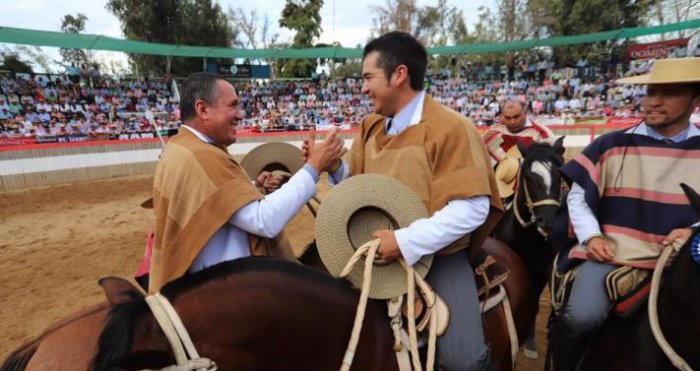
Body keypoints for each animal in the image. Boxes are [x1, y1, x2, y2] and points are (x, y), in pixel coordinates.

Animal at [490, 138, 568, 358]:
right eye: (528, 176)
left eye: (560, 175)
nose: (547, 221)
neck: (527, 241)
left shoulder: (539, 276)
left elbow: (533, 305)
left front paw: (531, 343)